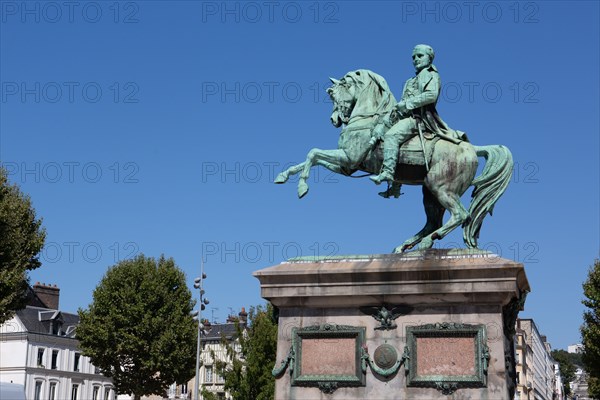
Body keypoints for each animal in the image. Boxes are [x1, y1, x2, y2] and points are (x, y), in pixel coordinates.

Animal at [274, 68, 512, 250]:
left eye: (333, 93)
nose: (334, 119)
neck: (366, 119)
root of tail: (472, 148)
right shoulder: (347, 166)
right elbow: (310, 159)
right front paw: (283, 176)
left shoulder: (348, 158)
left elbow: (312, 153)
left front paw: (302, 188)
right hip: (429, 192)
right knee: (434, 221)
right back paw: (405, 246)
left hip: (441, 188)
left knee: (461, 216)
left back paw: (426, 242)